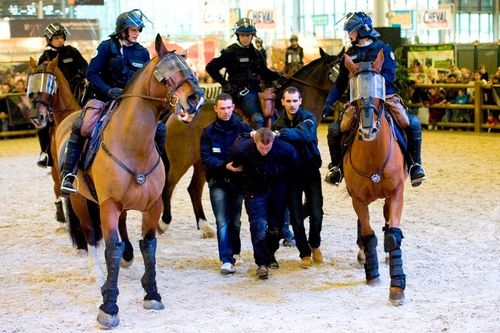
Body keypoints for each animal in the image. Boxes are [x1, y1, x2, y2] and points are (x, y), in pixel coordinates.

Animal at [51, 34, 204, 326]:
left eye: (188, 67)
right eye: (166, 73)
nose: (196, 99)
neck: (134, 145)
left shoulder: (153, 206)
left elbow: (149, 246)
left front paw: (152, 293)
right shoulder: (108, 206)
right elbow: (111, 247)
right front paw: (109, 306)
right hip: (79, 200)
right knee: (91, 237)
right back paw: (98, 275)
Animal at [158, 48, 342, 236]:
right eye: (333, 73)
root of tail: (176, 114)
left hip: (201, 162)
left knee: (194, 189)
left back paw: (205, 226)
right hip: (181, 161)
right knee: (168, 187)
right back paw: (164, 222)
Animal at [342, 50, 408, 304]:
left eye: (378, 94)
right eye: (356, 97)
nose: (368, 130)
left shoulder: (396, 192)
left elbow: (392, 236)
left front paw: (397, 287)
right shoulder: (358, 199)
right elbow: (369, 234)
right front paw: (372, 274)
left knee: (388, 220)